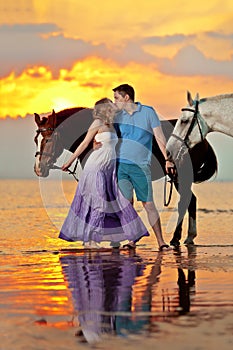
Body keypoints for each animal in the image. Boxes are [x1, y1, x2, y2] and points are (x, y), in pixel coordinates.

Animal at [33, 106, 217, 246]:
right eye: (36, 140)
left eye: (48, 140)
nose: (39, 169)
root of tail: (202, 140)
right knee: (190, 200)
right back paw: (188, 237)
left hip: (181, 177)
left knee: (185, 202)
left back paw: (177, 238)